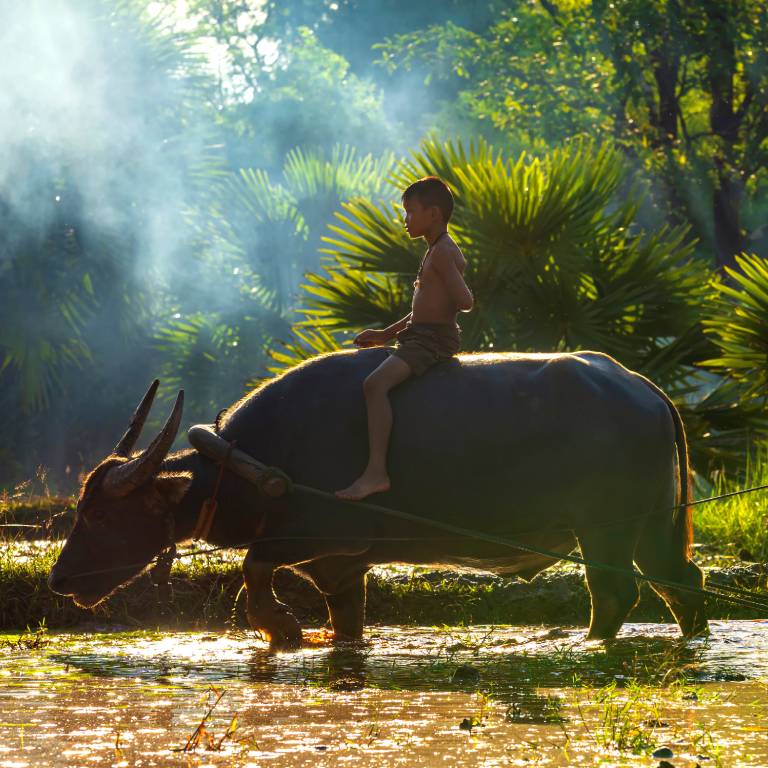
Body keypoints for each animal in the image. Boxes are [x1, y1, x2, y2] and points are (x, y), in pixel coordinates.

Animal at [49, 352, 708, 644]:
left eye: (101, 514)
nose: (59, 580)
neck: (257, 463)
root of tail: (646, 391)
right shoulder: (341, 568)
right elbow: (344, 621)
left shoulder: (329, 536)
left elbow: (253, 565)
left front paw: (279, 626)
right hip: (651, 525)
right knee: (681, 579)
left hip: (605, 528)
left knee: (616, 591)